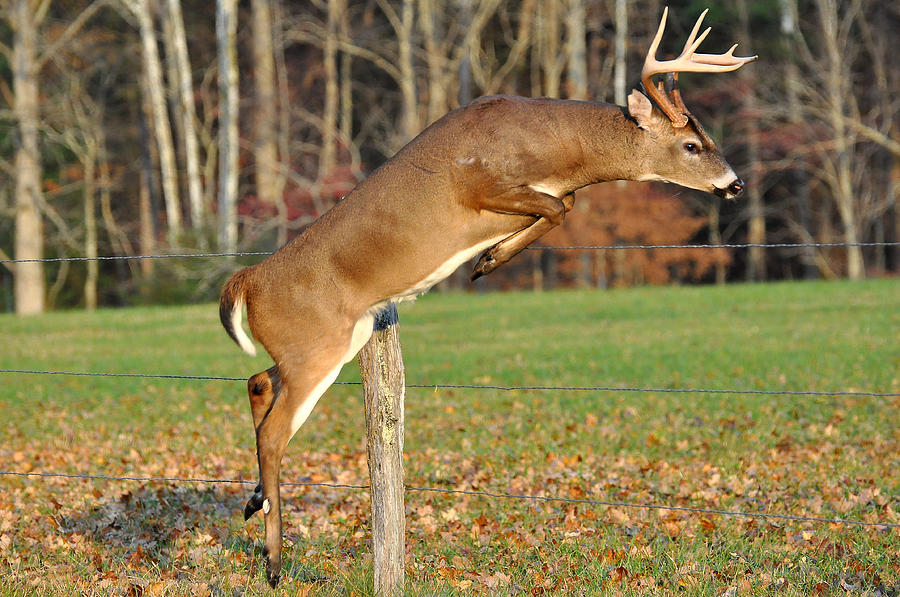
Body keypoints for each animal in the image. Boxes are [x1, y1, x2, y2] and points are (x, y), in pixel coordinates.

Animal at [220, 8, 755, 587]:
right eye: (691, 145)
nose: (735, 184)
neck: (559, 150)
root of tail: (248, 281)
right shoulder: (482, 184)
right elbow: (558, 207)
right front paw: (487, 261)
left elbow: (563, 204)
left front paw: (489, 257)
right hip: (315, 347)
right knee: (274, 433)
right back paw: (275, 563)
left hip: (329, 343)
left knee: (257, 383)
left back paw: (254, 502)